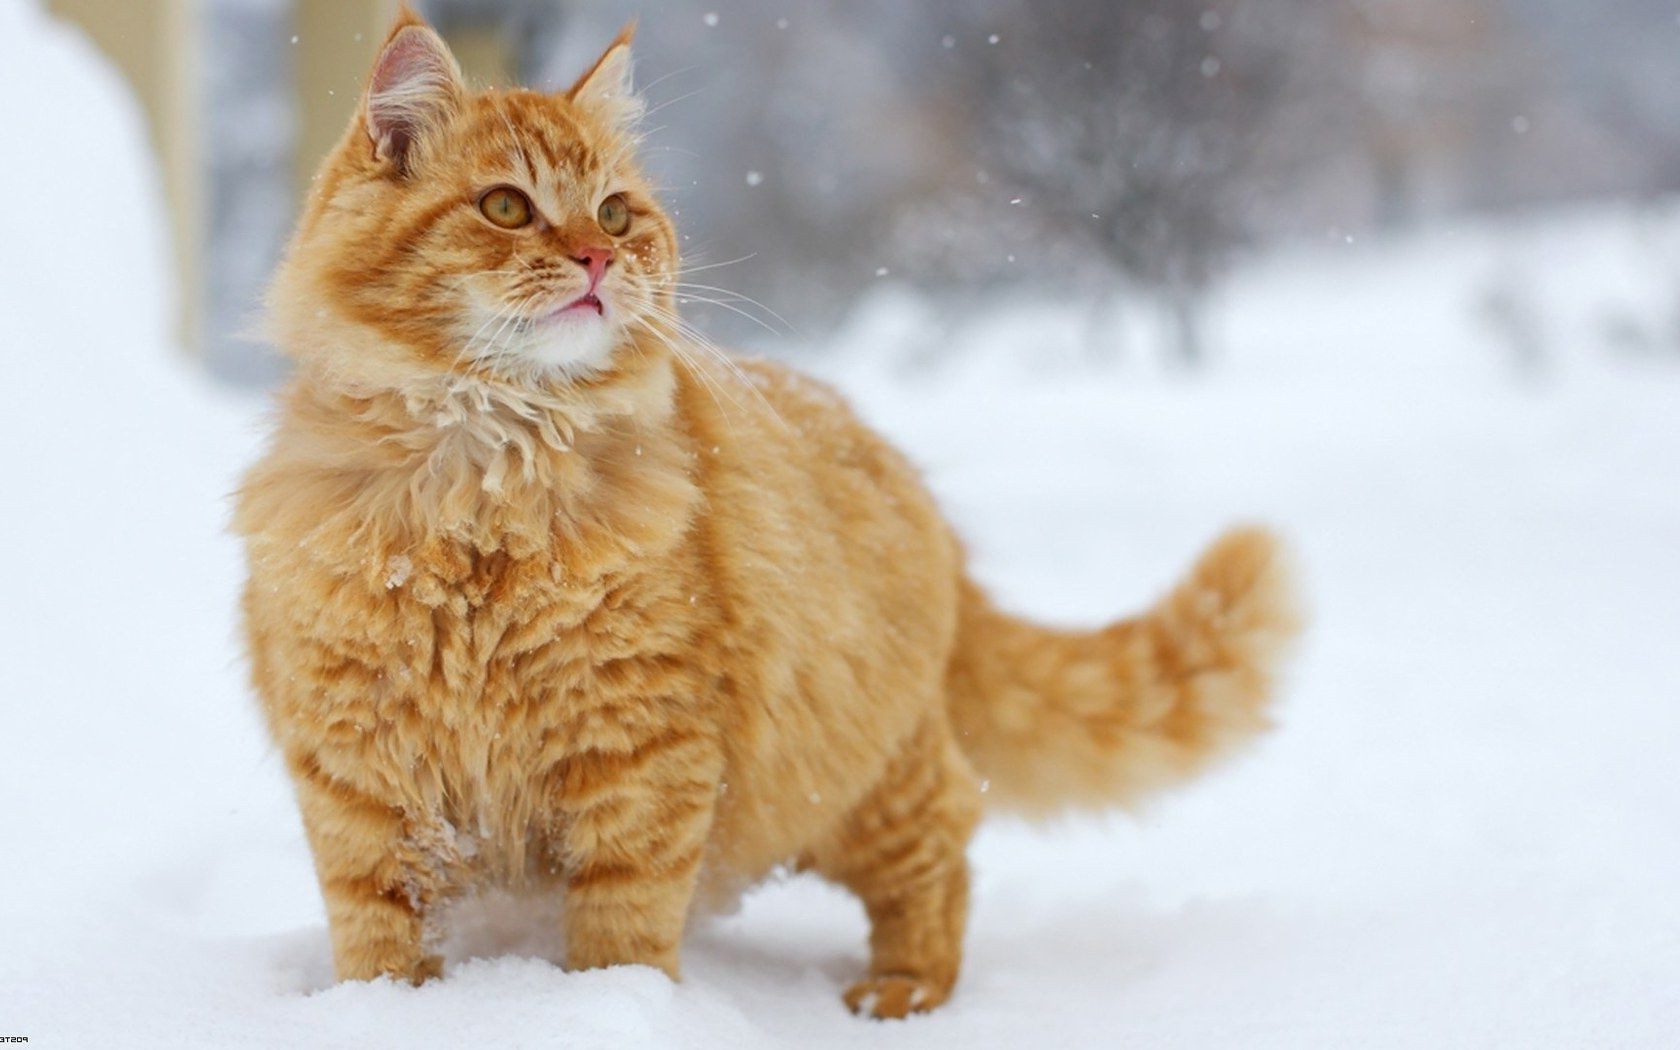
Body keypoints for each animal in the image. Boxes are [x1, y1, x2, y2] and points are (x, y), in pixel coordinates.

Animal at [233, 8, 1296, 1021]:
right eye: (505, 207)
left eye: (616, 212)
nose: (597, 256)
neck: (484, 478)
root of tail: (906, 477)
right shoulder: (360, 771)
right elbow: (378, 931)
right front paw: (384, 1013)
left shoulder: (639, 753)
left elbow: (622, 927)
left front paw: (605, 1009)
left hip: (856, 786)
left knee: (944, 847)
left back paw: (904, 989)